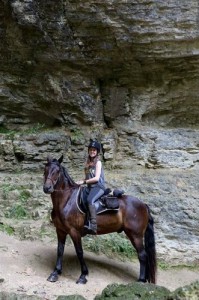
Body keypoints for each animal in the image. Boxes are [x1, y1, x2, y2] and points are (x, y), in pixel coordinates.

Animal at [42, 156, 156, 284]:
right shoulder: (60, 231)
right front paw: (55, 273)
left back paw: (141, 280)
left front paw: (83, 275)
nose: (47, 188)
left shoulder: (74, 232)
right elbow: (60, 250)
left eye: (57, 171)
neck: (66, 200)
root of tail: (143, 205)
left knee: (142, 255)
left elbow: (79, 252)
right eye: (45, 170)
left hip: (135, 235)